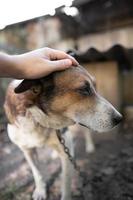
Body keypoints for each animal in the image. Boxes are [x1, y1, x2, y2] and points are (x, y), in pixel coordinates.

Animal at [3, 65, 122, 199]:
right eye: (84, 89)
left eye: (90, 89)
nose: (119, 118)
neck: (38, 120)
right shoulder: (27, 150)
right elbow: (37, 173)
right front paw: (40, 191)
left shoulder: (66, 152)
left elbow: (65, 182)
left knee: (86, 133)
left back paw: (90, 146)